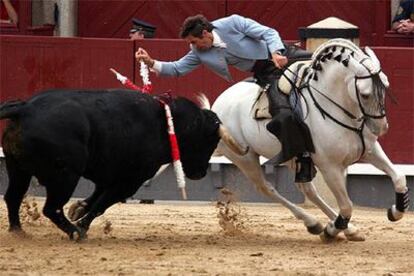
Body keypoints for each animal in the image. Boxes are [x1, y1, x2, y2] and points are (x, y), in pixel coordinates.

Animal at [0, 89, 243, 239]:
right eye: (210, 141)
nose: (199, 173)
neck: (168, 123)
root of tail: (25, 108)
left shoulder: (110, 175)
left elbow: (95, 198)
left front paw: (78, 210)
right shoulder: (130, 181)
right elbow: (100, 205)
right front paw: (82, 225)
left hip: (17, 168)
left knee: (13, 196)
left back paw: (18, 231)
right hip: (65, 176)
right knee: (51, 207)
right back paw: (75, 233)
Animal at [212, 38, 410, 242]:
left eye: (386, 86)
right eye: (365, 94)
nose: (381, 127)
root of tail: (218, 103)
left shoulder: (370, 150)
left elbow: (399, 177)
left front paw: (395, 212)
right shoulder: (330, 167)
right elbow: (346, 205)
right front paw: (331, 231)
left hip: (293, 157)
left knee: (307, 190)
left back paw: (340, 228)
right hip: (245, 159)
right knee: (265, 188)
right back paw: (314, 223)